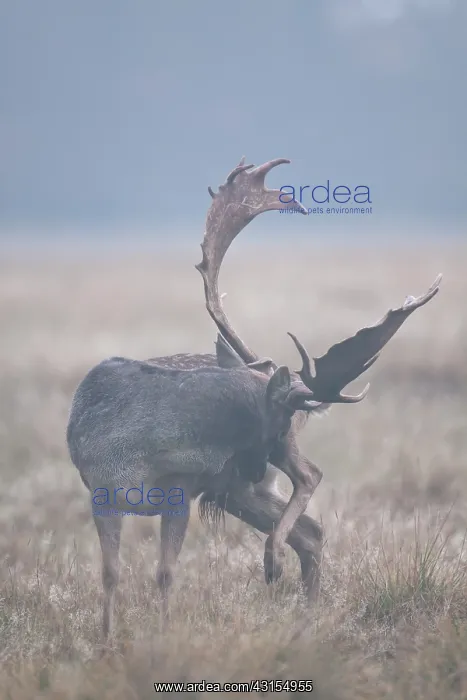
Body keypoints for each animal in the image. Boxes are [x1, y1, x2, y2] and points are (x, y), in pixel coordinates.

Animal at [66, 155, 442, 643]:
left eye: (277, 423)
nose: (255, 465)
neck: (137, 448)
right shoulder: (103, 490)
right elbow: (110, 573)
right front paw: (107, 641)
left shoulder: (180, 488)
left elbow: (165, 573)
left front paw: (163, 639)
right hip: (236, 491)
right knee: (311, 526)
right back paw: (300, 612)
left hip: (245, 483)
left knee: (310, 488)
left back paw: (279, 571)